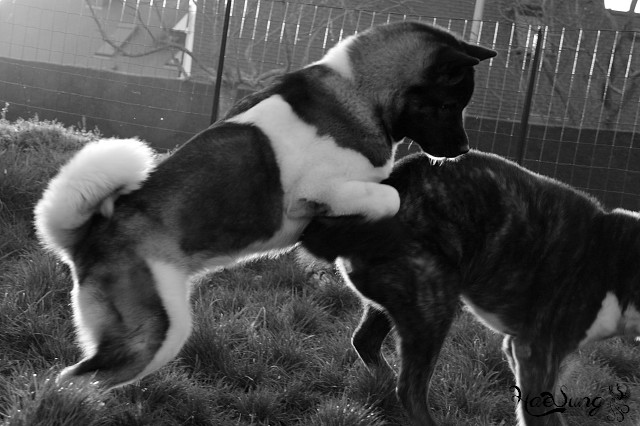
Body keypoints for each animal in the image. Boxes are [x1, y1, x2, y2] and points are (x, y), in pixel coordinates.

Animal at [33, 23, 496, 390]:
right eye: (447, 105)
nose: (463, 149)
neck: (358, 92)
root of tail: (88, 236)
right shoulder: (326, 187)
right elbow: (389, 196)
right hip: (155, 334)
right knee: (72, 380)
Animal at [302, 151, 640, 426]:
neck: (620, 264)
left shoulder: (530, 355)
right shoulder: (535, 352)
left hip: (400, 299)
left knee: (366, 341)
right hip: (433, 304)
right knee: (410, 389)